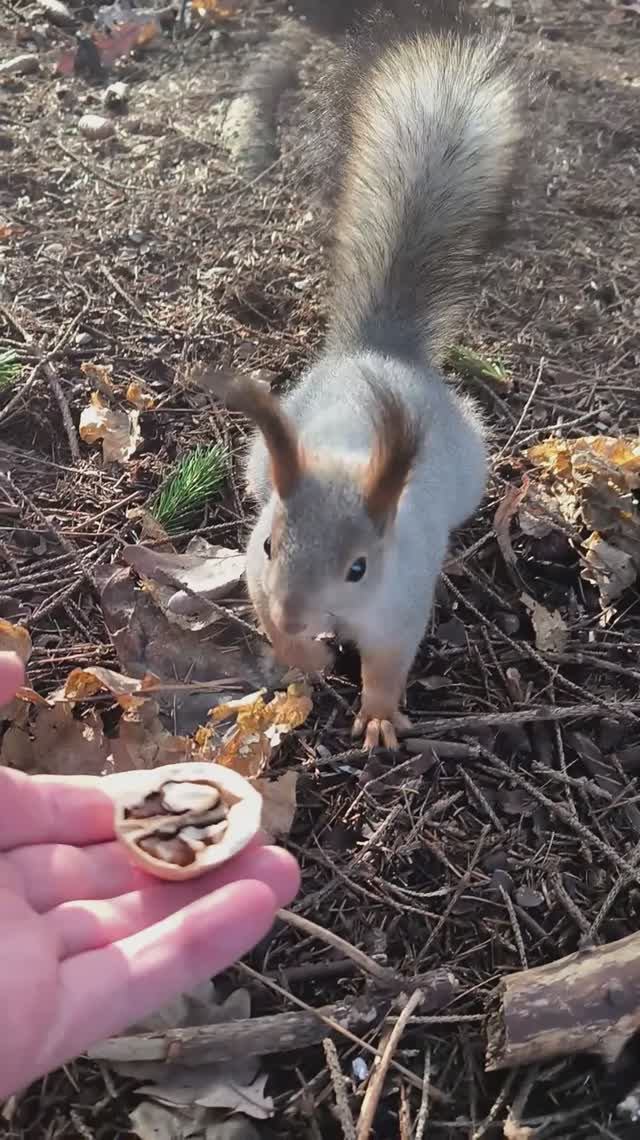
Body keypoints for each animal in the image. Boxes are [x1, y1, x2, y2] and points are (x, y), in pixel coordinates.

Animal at [204, 4, 524, 749]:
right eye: (270, 543)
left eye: (359, 568)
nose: (297, 613)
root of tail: (379, 354)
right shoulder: (257, 576)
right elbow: (270, 620)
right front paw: (304, 654)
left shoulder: (401, 605)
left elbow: (387, 666)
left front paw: (377, 715)